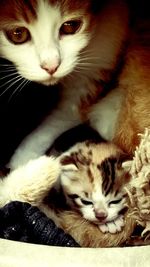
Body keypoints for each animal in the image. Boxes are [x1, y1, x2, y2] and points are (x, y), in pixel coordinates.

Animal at [0, 0, 129, 170]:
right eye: (18, 34)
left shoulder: (106, 43)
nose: (51, 66)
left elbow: (64, 115)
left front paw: (24, 161)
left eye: (70, 26)